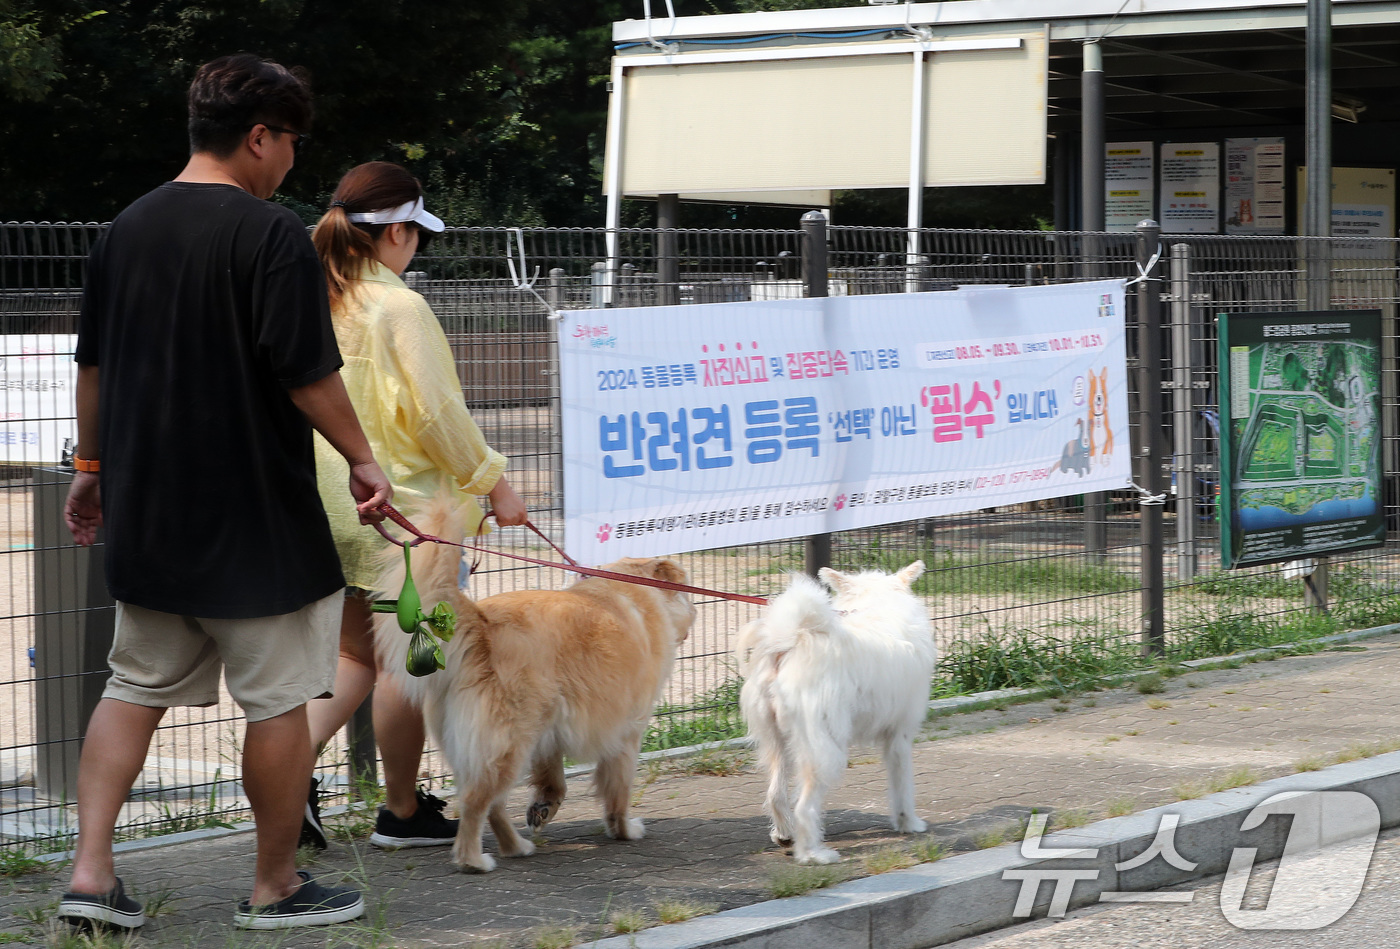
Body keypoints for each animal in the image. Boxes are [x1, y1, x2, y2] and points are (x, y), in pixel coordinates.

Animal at [378, 501, 694, 873]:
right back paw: (473, 861)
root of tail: (482, 624)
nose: (693, 609)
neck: (635, 589)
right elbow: (618, 790)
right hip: (508, 743)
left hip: (503, 738)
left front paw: (545, 806)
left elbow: (553, 779)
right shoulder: (626, 733)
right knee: (475, 802)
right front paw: (624, 829)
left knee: (494, 805)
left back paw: (515, 847)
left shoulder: (552, 732)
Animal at [739, 565, 935, 867]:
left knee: (776, 795)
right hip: (824, 748)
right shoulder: (900, 736)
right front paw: (909, 823)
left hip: (777, 741)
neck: (876, 605)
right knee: (804, 806)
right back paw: (813, 854)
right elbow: (903, 785)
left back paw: (785, 836)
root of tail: (793, 641)